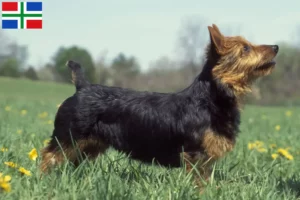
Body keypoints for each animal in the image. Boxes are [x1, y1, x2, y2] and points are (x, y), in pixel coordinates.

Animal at [39, 23, 278, 189]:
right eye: (245, 48)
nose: (276, 46)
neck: (210, 98)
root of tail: (82, 87)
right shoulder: (195, 157)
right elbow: (198, 183)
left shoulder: (206, 160)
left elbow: (206, 181)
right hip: (67, 138)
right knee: (47, 157)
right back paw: (43, 180)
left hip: (88, 145)